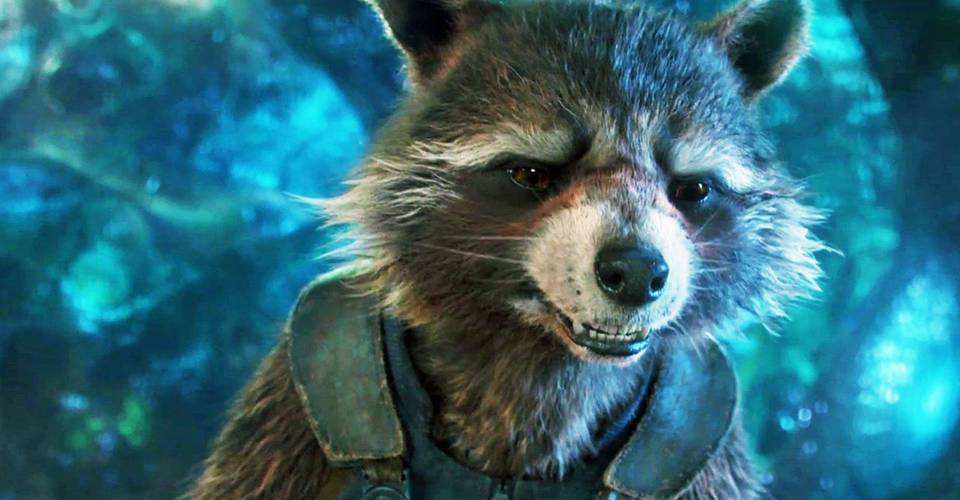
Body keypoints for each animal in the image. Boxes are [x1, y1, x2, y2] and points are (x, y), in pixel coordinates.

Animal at [193, 0, 825, 498]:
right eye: (531, 174)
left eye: (691, 190)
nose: (638, 271)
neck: (543, 354)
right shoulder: (291, 406)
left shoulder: (704, 451)